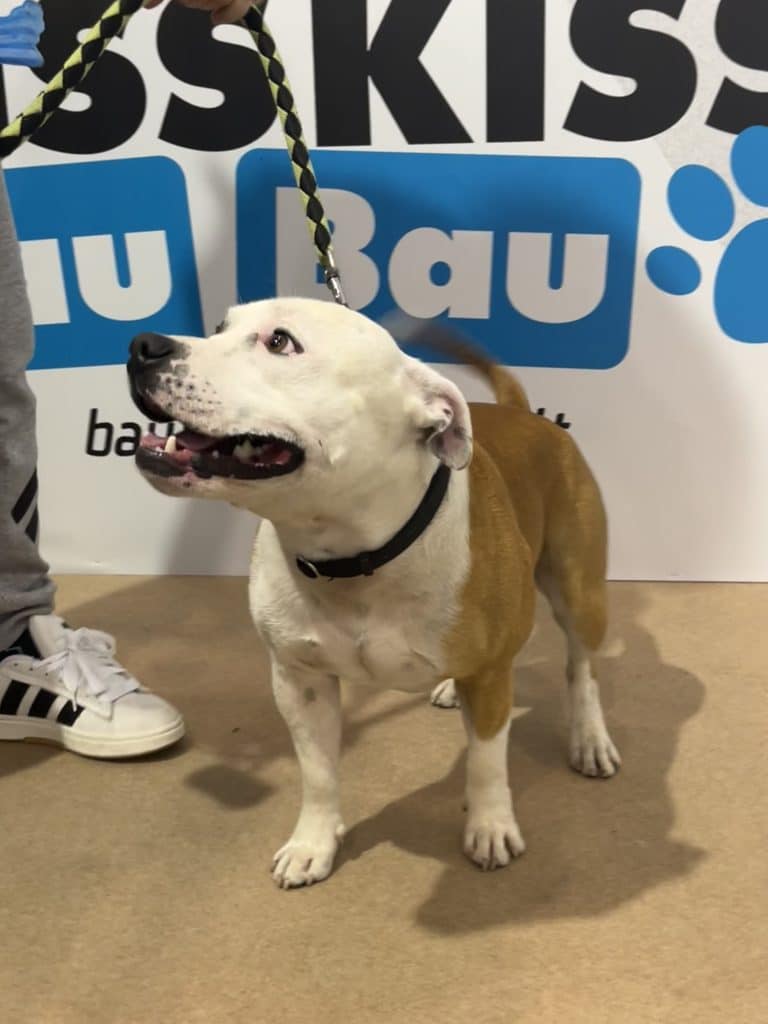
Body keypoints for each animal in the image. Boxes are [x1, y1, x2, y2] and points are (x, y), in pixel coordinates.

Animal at [127, 297, 621, 889]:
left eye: (281, 342)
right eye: (220, 327)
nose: (144, 346)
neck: (355, 557)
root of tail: (526, 416)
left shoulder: (491, 676)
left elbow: (485, 761)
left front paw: (490, 826)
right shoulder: (299, 680)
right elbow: (317, 772)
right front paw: (313, 843)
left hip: (579, 592)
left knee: (582, 668)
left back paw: (589, 738)